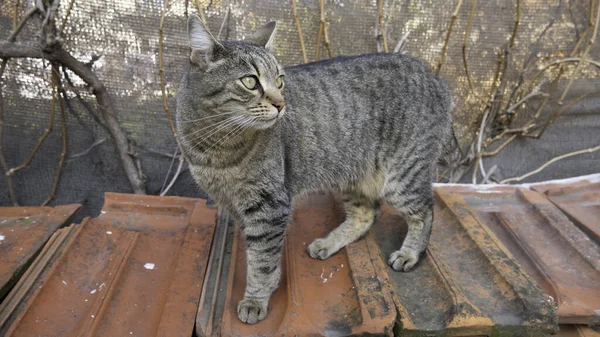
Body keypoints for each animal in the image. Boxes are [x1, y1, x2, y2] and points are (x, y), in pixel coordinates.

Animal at [176, 15, 458, 322]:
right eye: (250, 81)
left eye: (280, 81)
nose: (281, 104)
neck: (215, 145)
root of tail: (437, 79)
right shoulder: (236, 204)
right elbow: (259, 253)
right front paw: (270, 283)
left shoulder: (269, 204)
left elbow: (261, 258)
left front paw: (255, 298)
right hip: (354, 176)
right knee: (367, 214)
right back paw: (329, 243)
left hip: (403, 176)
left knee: (425, 211)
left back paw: (410, 253)